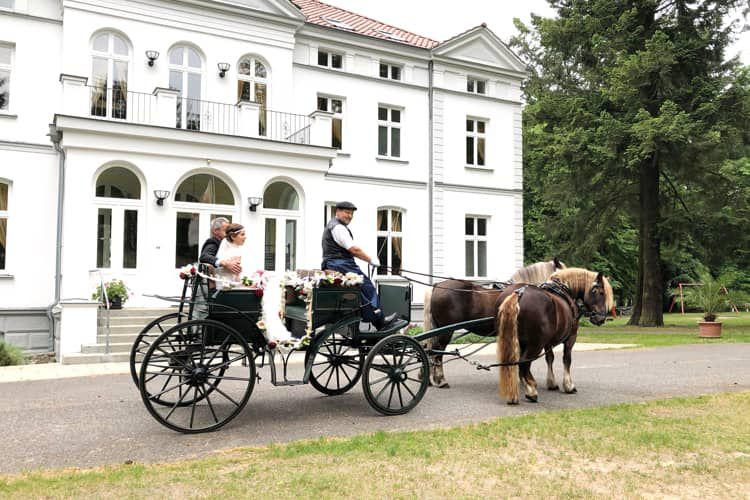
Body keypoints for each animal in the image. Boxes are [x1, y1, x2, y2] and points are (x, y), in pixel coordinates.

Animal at [496, 268, 612, 404]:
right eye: (601, 293)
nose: (601, 319)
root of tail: (518, 294)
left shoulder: (547, 343)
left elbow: (549, 358)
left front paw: (551, 383)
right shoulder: (570, 338)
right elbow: (567, 359)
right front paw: (568, 385)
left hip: (517, 341)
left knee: (516, 363)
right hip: (535, 344)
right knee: (524, 362)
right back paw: (531, 391)